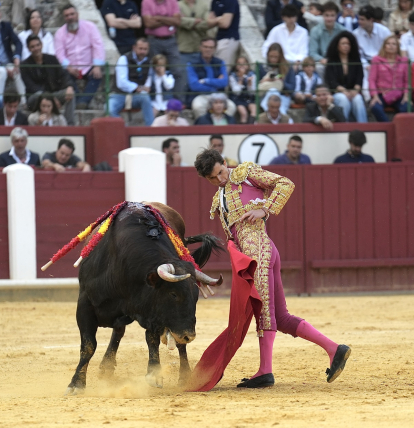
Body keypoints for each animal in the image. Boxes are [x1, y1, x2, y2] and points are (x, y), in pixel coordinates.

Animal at [66, 202, 223, 396]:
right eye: (173, 294)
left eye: (196, 295)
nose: (189, 335)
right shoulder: (85, 305)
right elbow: (88, 345)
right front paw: (76, 384)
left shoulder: (153, 314)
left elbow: (152, 339)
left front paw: (154, 375)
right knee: (118, 332)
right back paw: (106, 368)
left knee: (177, 345)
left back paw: (185, 377)